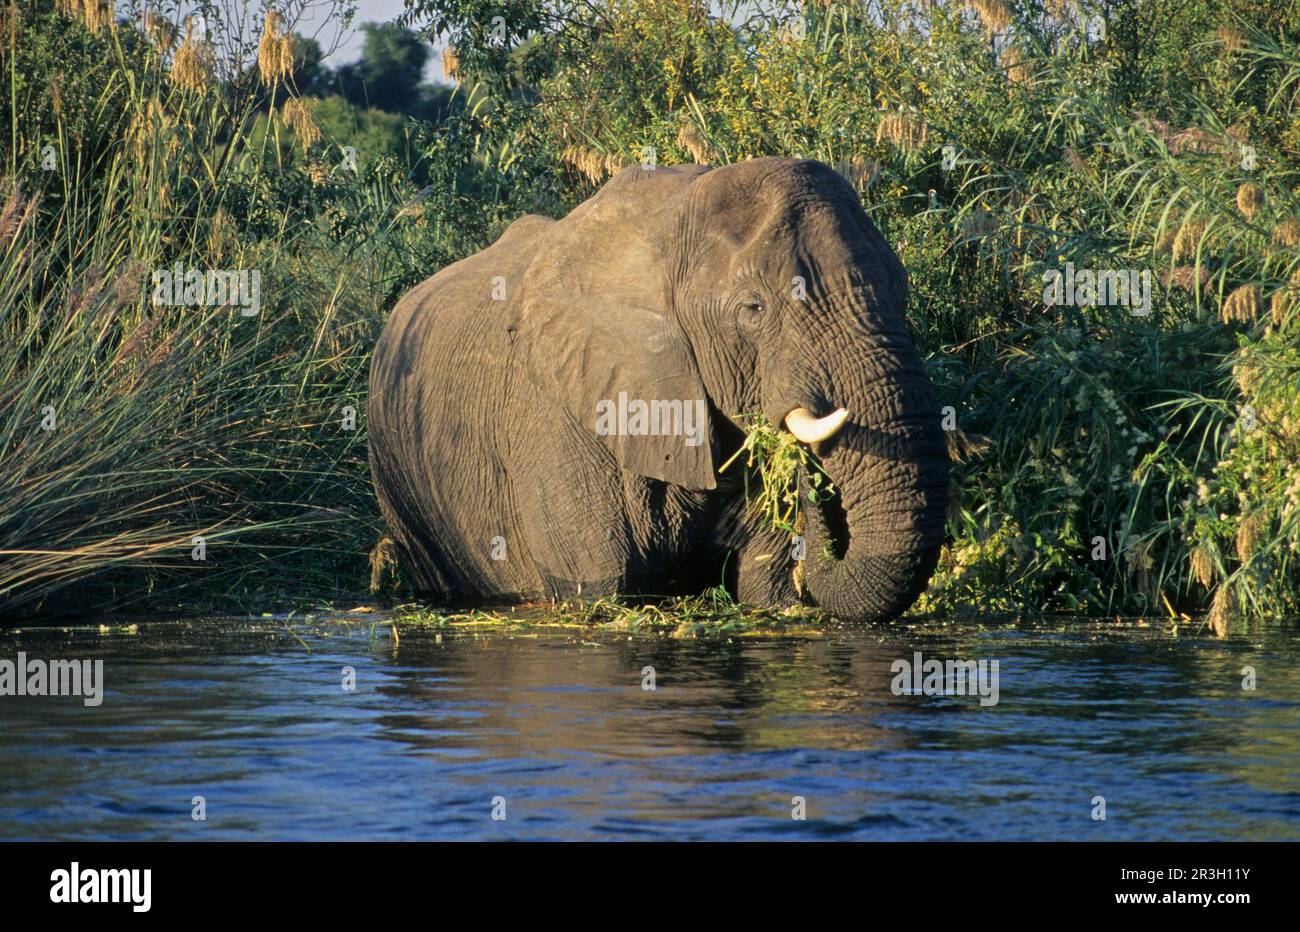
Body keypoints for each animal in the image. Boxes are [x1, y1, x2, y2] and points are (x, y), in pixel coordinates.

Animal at [368, 157, 948, 622]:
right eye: (753, 308)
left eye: (901, 289)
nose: (808, 470)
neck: (672, 224)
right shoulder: (553, 417)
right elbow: (603, 589)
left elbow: (766, 590)